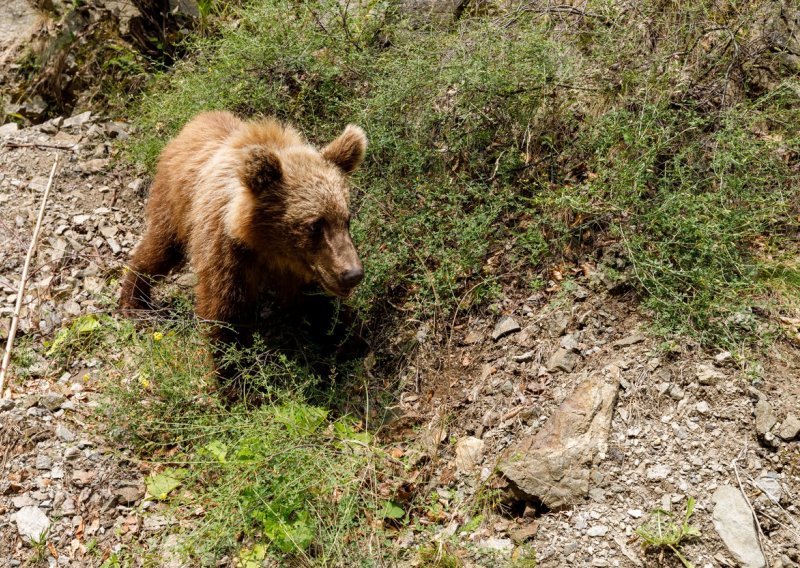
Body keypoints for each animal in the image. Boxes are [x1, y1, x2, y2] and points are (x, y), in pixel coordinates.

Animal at [119, 111, 368, 366]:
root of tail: (197, 119)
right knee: (160, 249)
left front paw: (348, 341)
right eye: (314, 224)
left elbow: (320, 306)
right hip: (176, 203)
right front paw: (231, 367)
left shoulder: (305, 270)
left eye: (346, 219)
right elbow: (225, 314)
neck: (267, 245)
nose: (352, 274)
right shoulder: (227, 255)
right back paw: (134, 300)